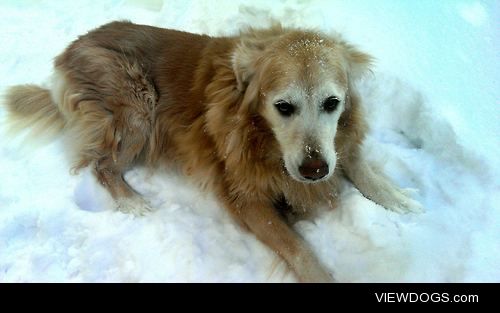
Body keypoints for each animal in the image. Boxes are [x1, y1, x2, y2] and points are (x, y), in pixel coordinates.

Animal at [5, 20, 422, 282]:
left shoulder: (337, 145)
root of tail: (70, 50)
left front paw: (399, 198)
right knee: (101, 165)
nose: (314, 169)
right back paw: (133, 201)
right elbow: (300, 250)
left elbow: (359, 165)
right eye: (283, 107)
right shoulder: (244, 198)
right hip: (138, 104)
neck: (262, 139)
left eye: (332, 103)